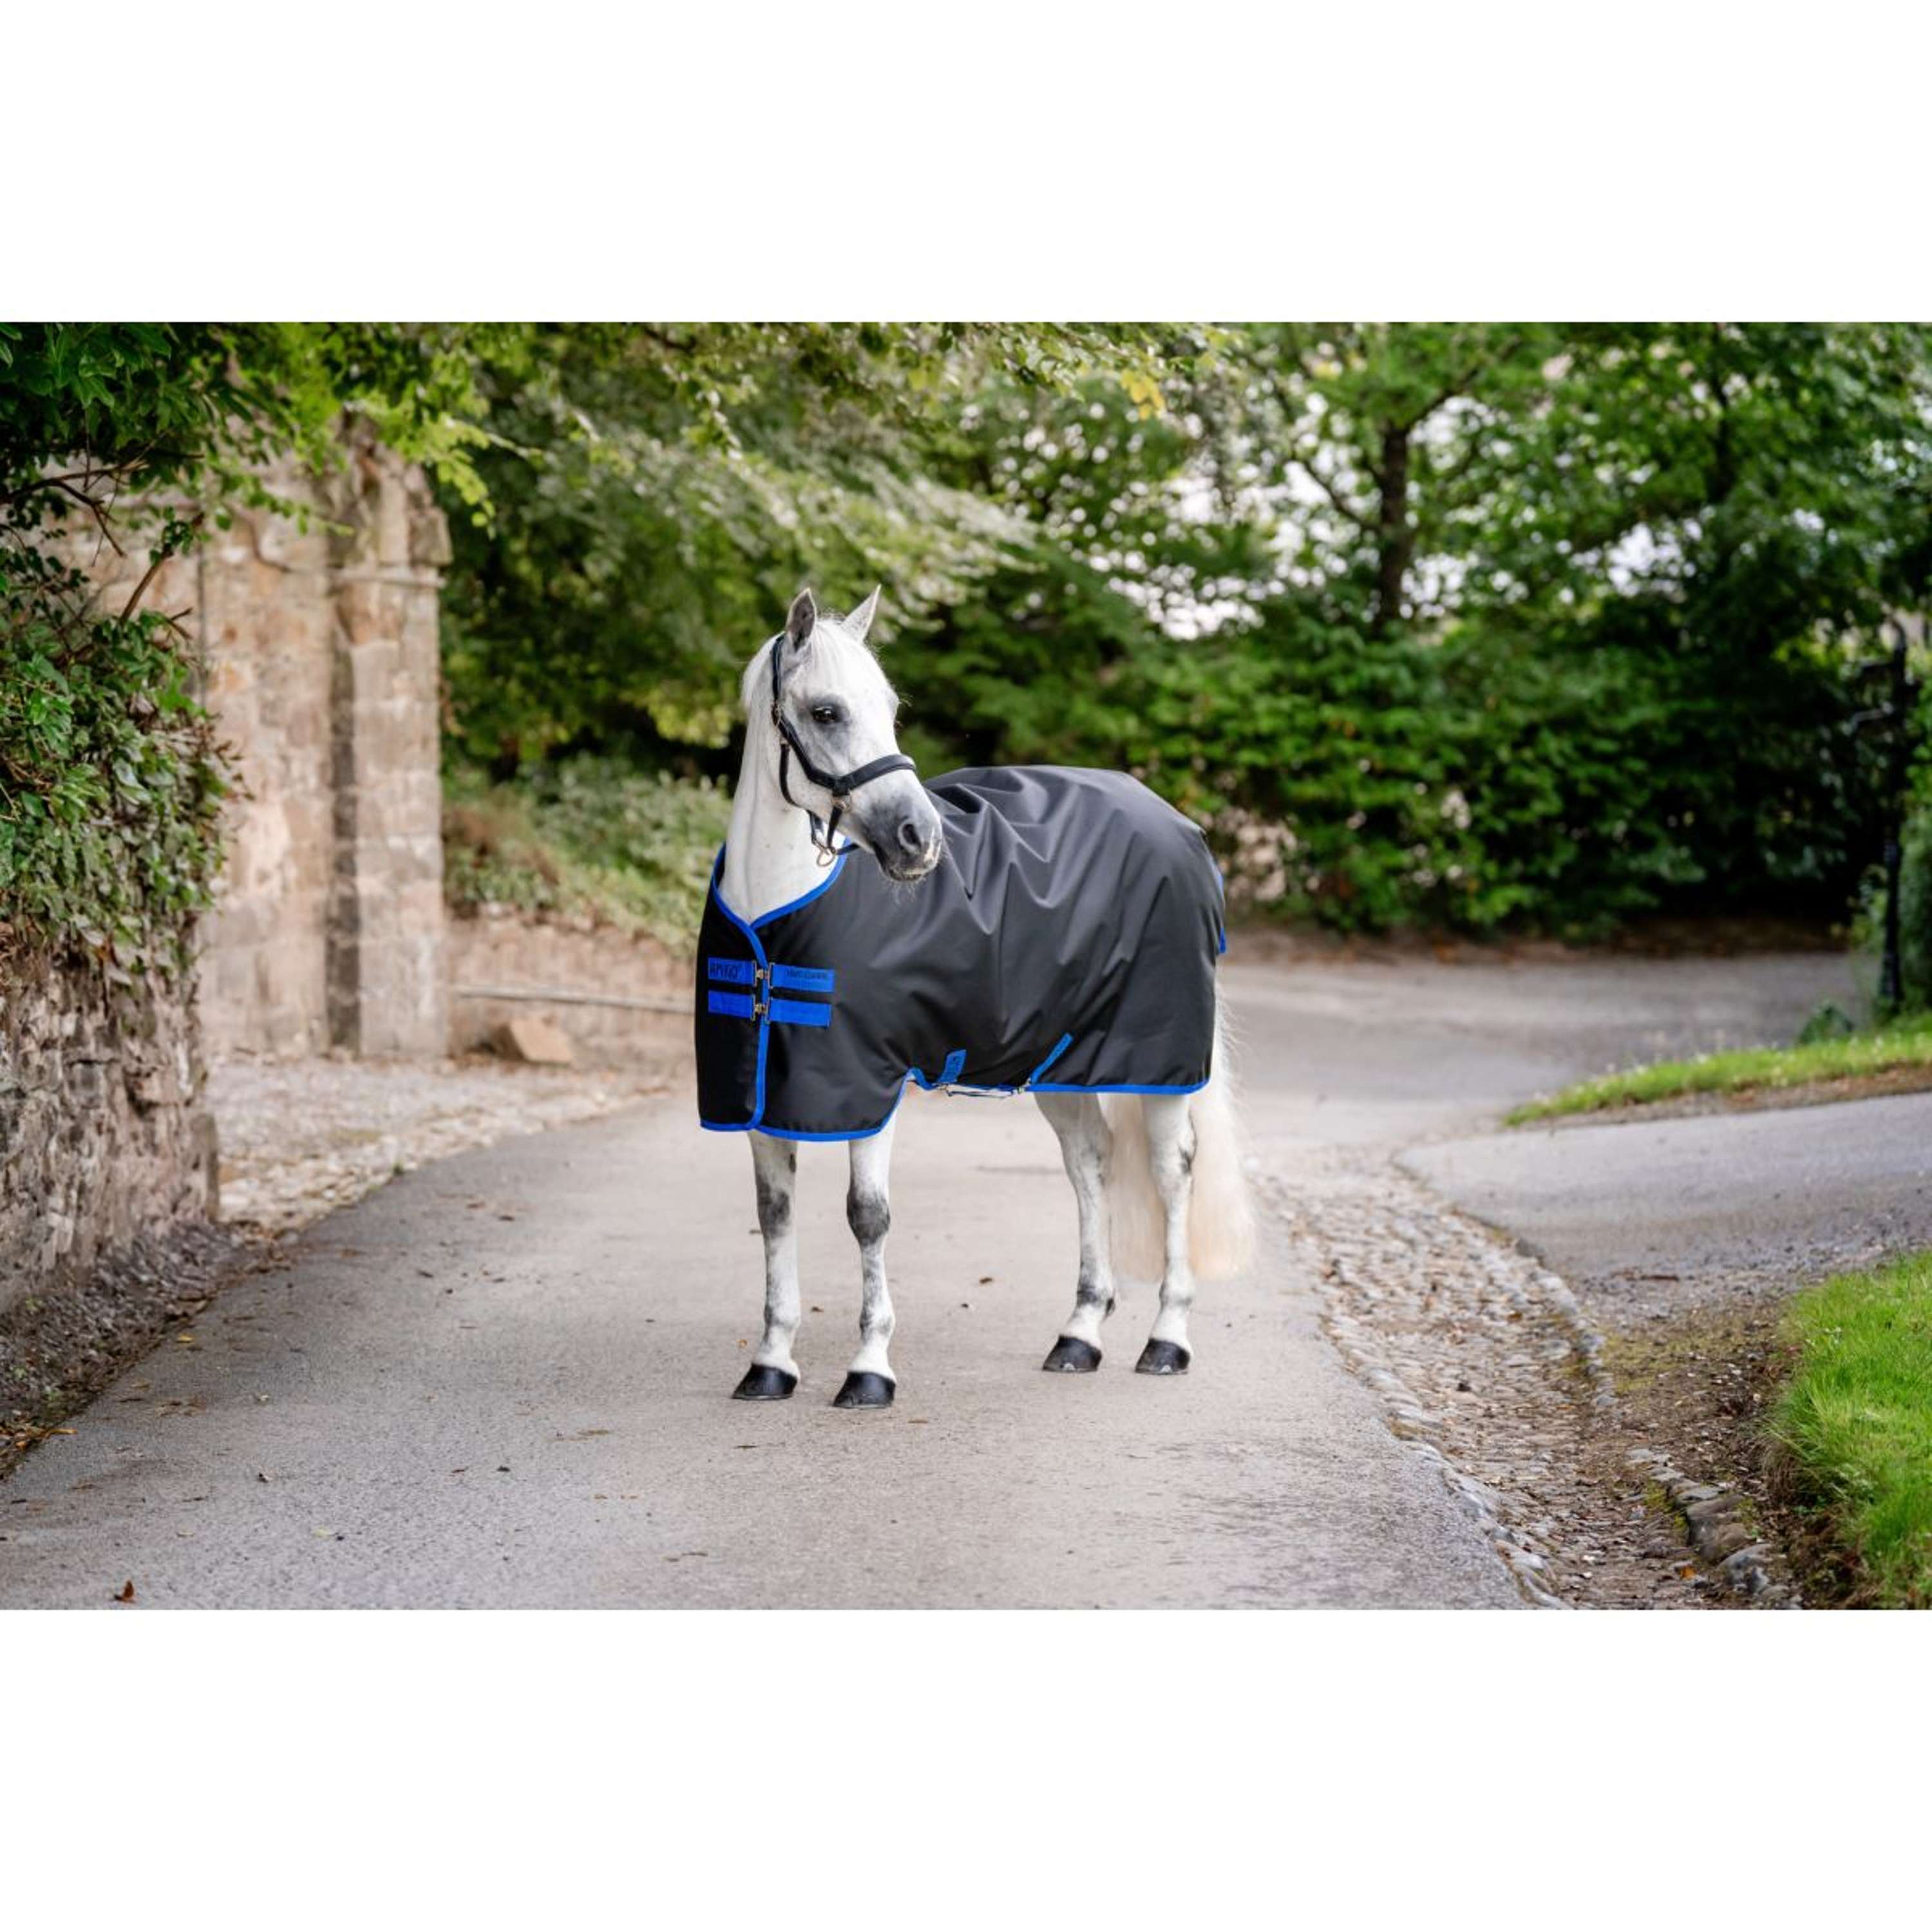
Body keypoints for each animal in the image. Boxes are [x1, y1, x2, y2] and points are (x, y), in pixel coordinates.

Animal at [695, 587, 1255, 1408]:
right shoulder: (764, 1095)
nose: (919, 839)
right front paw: (771, 1362)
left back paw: (1167, 1339)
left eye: (891, 707)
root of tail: (1179, 825)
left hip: (1160, 1062)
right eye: (827, 711)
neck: (776, 919)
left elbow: (868, 1217)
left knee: (1171, 1170)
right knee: (1090, 1165)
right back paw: (1079, 1335)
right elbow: (775, 1217)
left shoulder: (872, 1087)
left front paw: (870, 1369)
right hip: (1063, 1063)